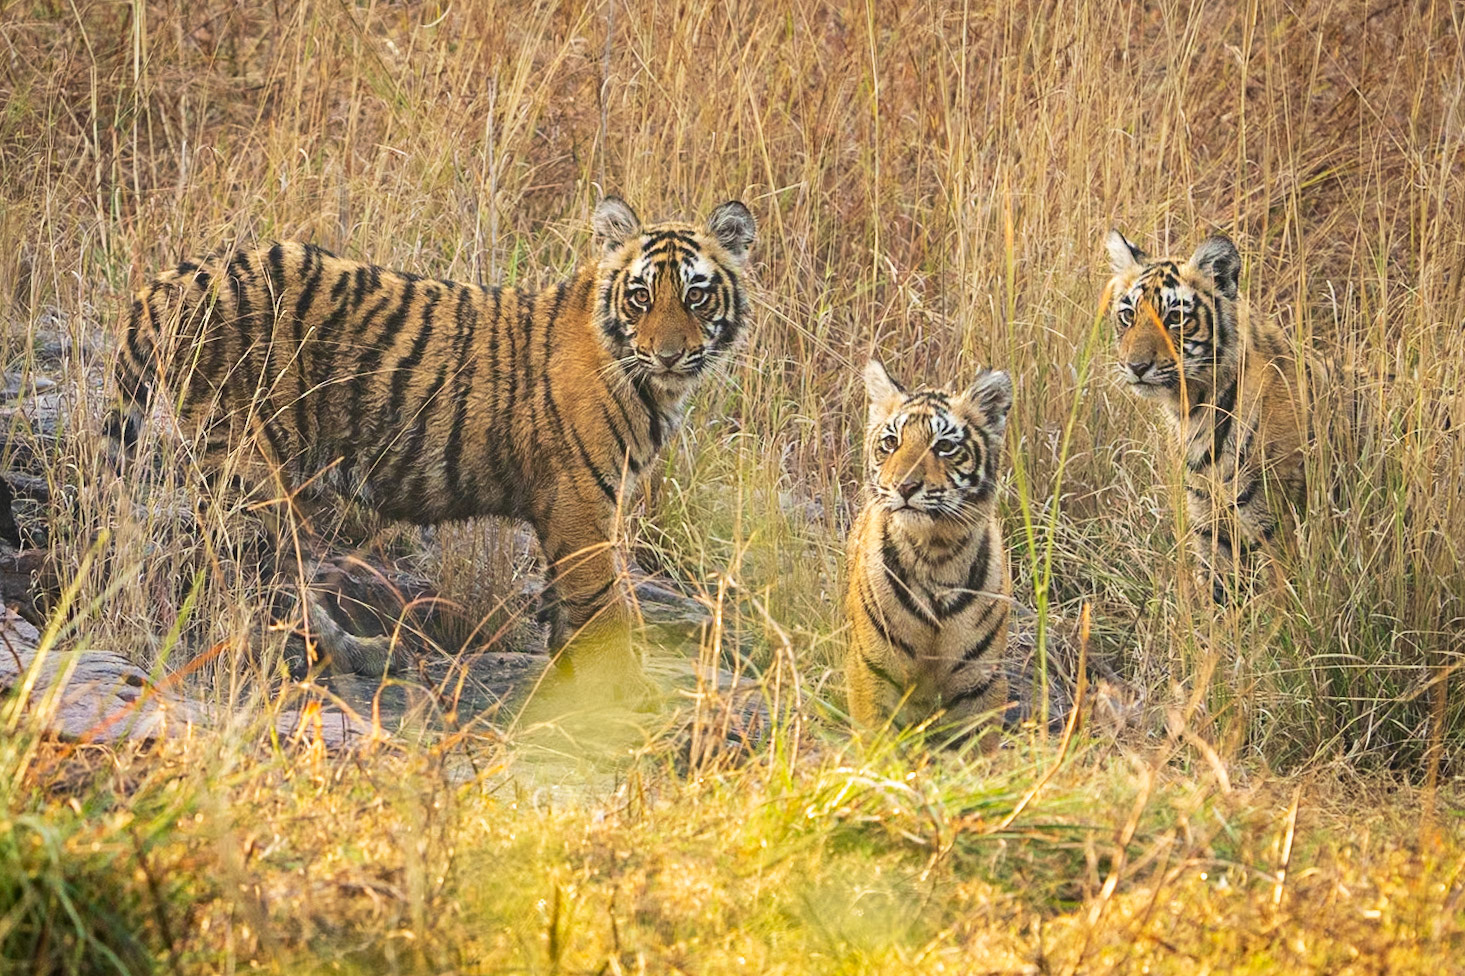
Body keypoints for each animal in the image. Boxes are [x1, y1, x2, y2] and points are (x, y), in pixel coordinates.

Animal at [107, 197, 757, 695]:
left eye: (696, 296)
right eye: (641, 296)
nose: (669, 354)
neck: (653, 386)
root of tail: (182, 275)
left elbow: (567, 605)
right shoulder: (581, 507)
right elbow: (605, 604)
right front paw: (625, 694)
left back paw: (357, 655)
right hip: (248, 466)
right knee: (247, 577)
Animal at [844, 359, 1014, 753]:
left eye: (945, 446)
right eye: (891, 442)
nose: (904, 486)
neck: (936, 552)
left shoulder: (981, 684)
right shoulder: (872, 672)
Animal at [1106, 230, 1313, 603]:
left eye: (1175, 318)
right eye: (1128, 315)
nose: (1136, 366)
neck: (1193, 410)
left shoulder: (1275, 526)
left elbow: (1282, 600)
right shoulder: (1209, 523)